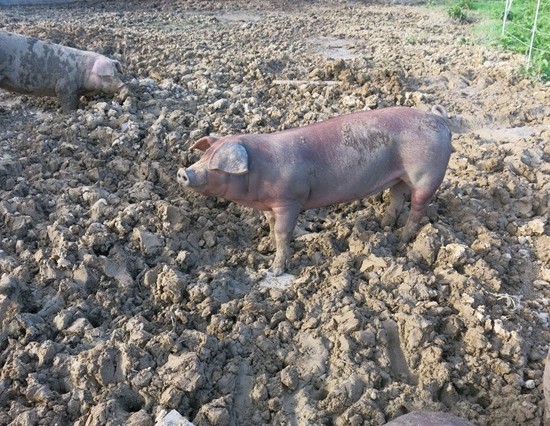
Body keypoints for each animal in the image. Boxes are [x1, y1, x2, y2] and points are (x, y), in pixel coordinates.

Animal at [179, 105, 454, 274]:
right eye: (204, 156)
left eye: (216, 165)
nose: (184, 172)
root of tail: (439, 119)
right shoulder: (269, 205)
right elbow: (271, 226)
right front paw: (265, 249)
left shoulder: (290, 200)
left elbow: (283, 232)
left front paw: (275, 270)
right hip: (400, 178)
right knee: (396, 199)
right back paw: (384, 229)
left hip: (427, 175)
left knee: (417, 208)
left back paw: (403, 242)